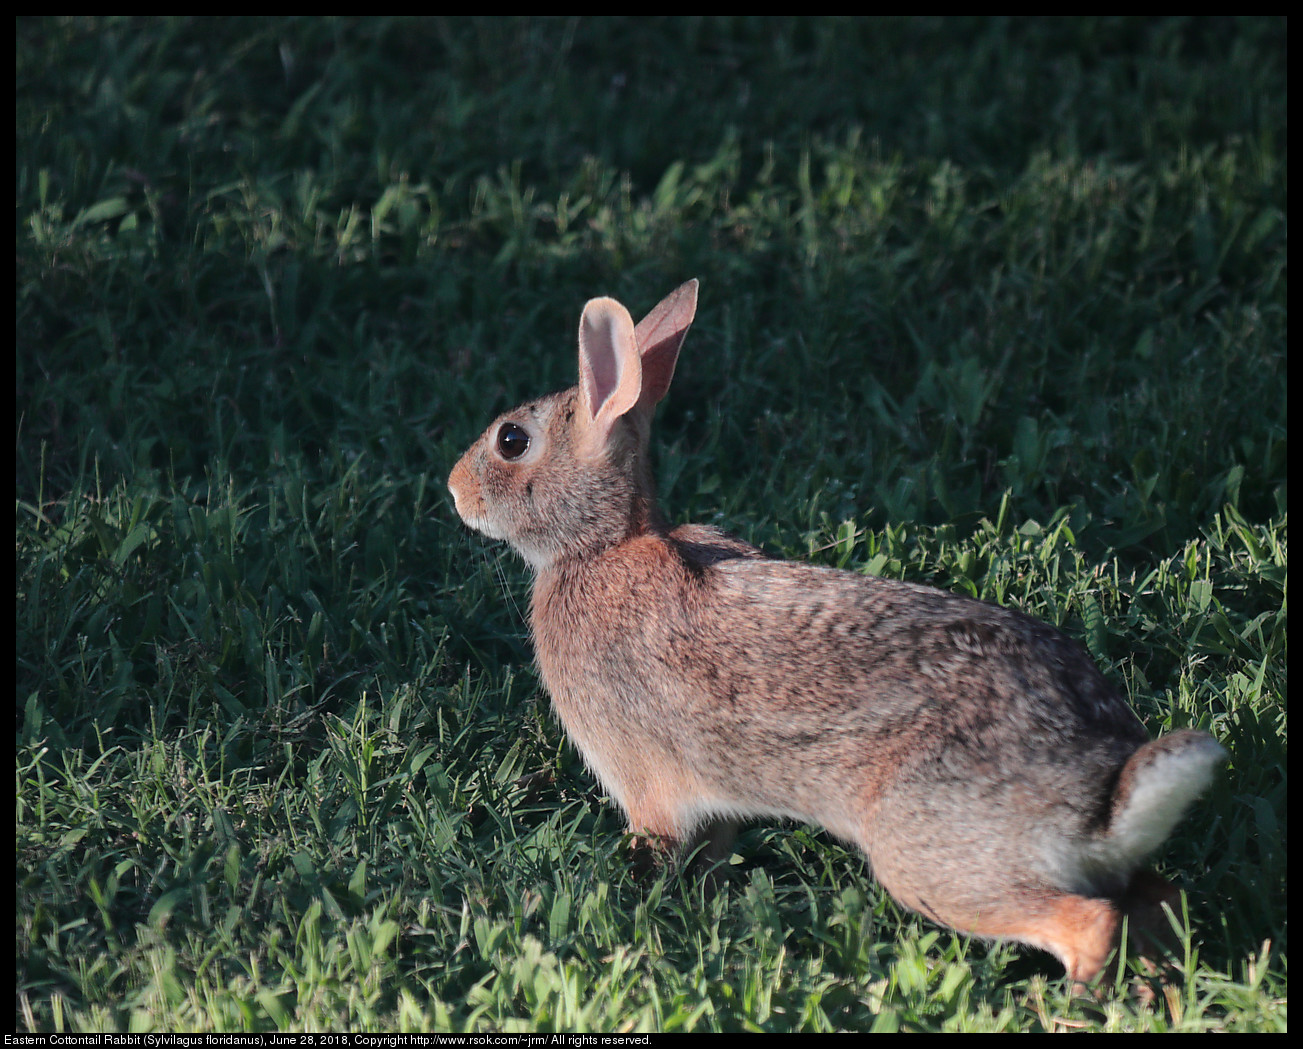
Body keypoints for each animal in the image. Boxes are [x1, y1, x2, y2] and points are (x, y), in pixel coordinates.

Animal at [445, 278, 1219, 979]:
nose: (454, 491)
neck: (599, 547)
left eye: (511, 441)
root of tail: (1098, 799)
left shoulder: (645, 786)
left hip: (935, 859)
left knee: (1087, 922)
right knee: (1160, 900)